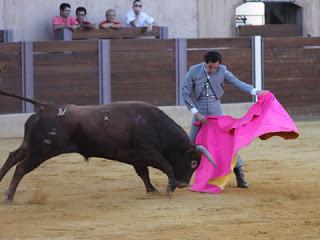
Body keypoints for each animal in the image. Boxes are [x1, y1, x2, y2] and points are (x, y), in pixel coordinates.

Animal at [0, 90, 216, 204]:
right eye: (194, 162)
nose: (184, 184)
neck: (156, 125)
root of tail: (47, 107)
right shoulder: (149, 152)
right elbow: (167, 166)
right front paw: (168, 189)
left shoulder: (138, 157)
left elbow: (144, 174)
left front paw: (152, 190)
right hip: (41, 151)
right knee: (21, 167)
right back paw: (9, 197)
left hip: (30, 146)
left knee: (12, 157)